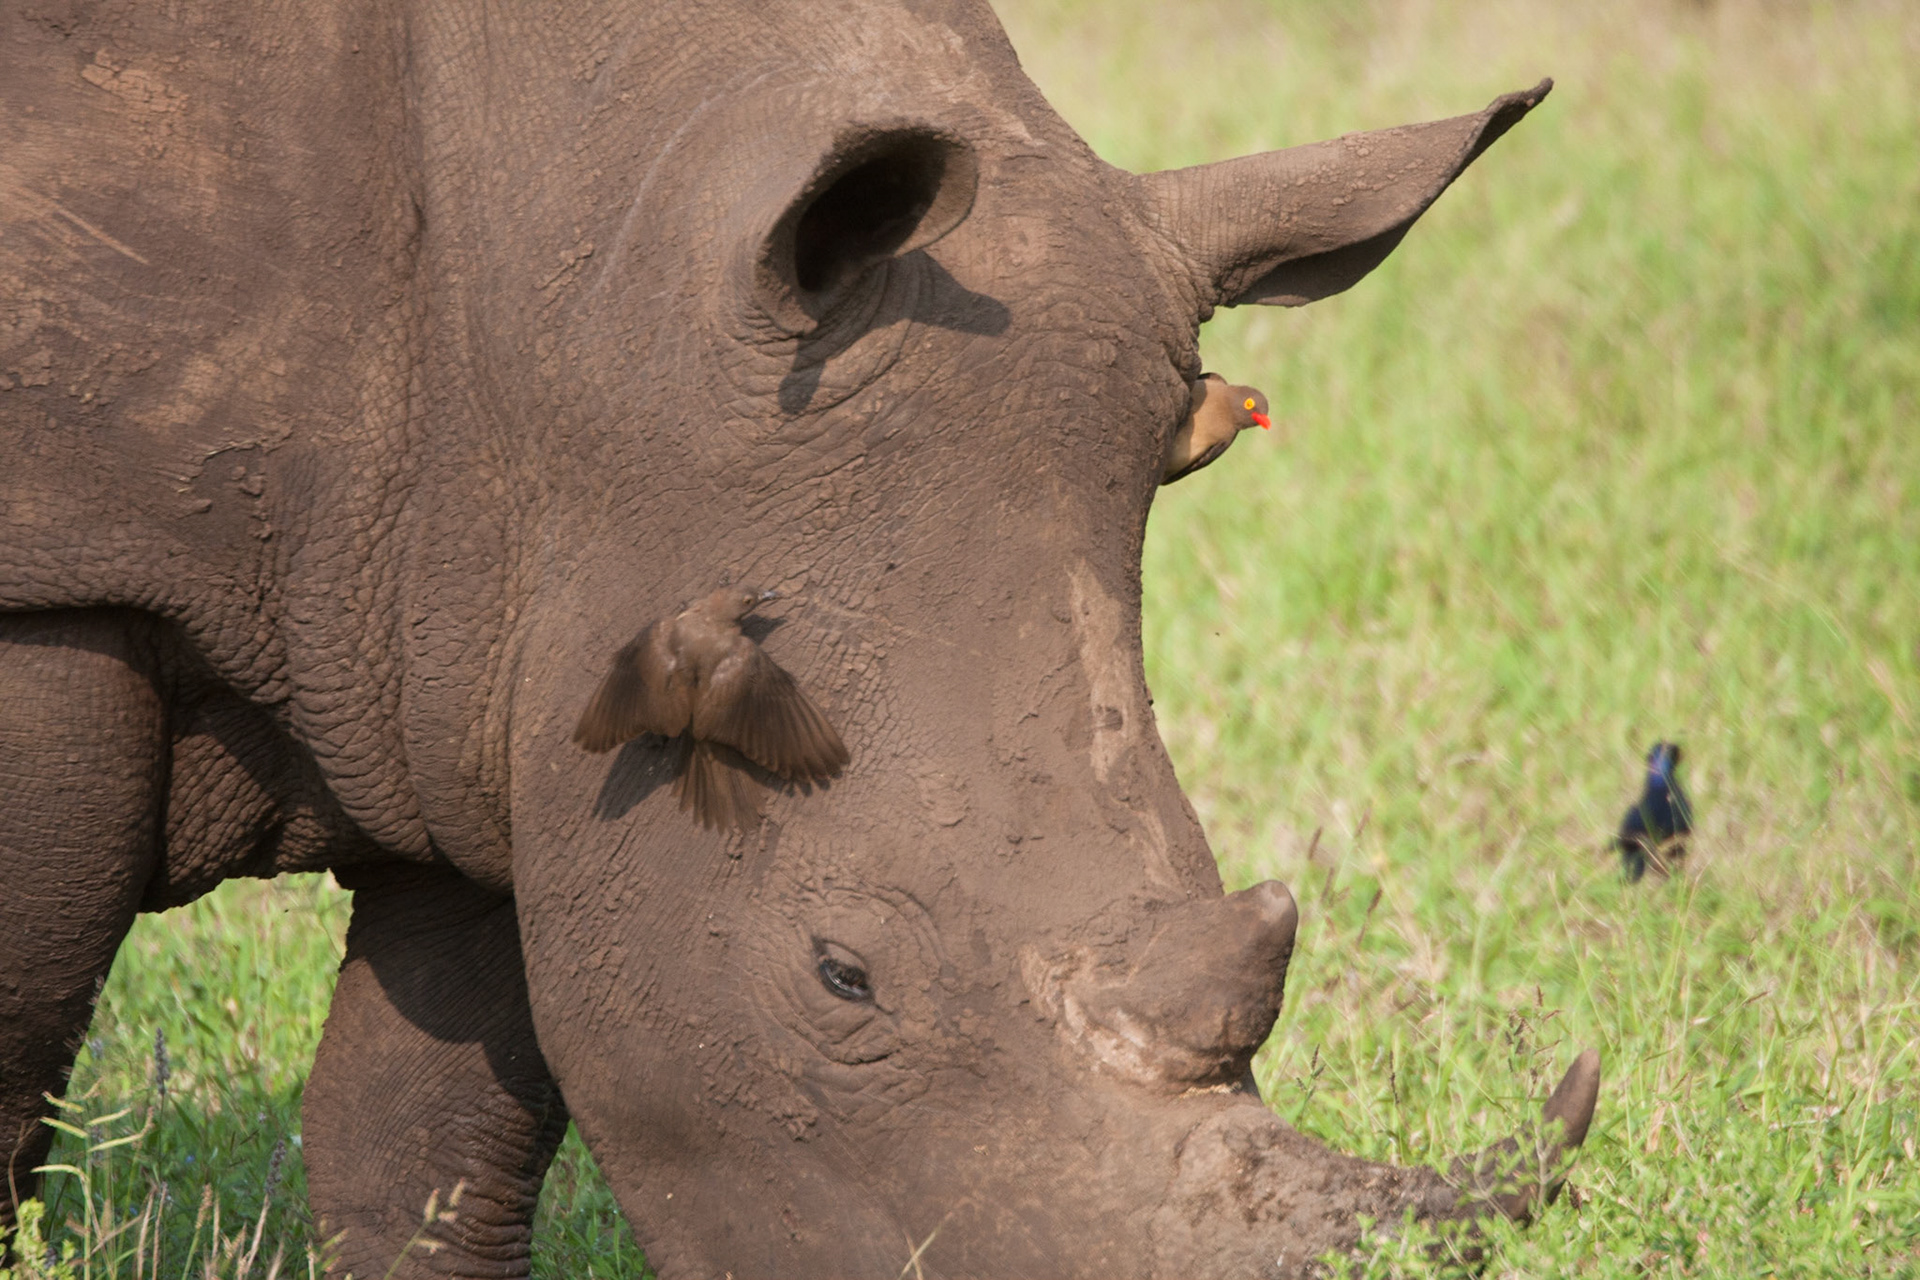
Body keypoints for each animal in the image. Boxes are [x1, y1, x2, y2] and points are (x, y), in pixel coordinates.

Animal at [0, 0, 1594, 1274]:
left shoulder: (482, 651)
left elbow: (430, 1145)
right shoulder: (62, 593)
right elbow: (18, 1048)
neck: (572, 310)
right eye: (842, 974)